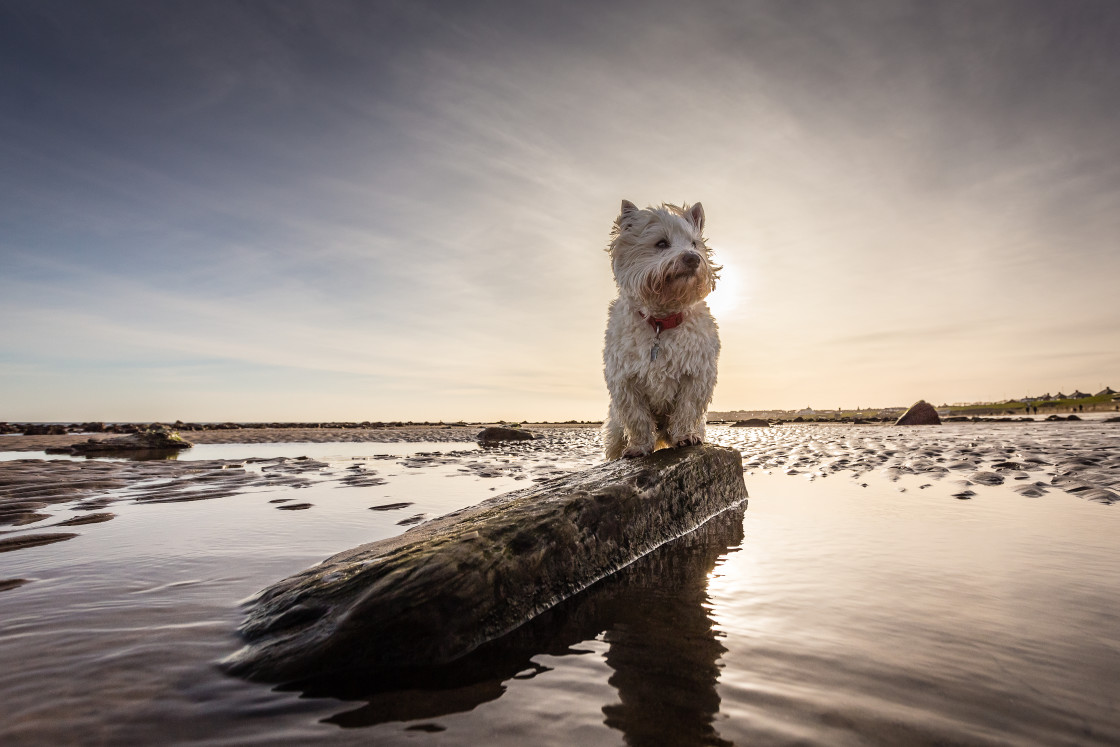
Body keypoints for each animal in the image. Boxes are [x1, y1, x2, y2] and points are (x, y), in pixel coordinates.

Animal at [604, 197, 716, 461]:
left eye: (694, 243)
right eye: (661, 243)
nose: (693, 258)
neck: (660, 322)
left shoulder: (696, 375)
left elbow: (687, 408)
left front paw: (685, 437)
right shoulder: (625, 380)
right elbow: (637, 418)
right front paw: (639, 446)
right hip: (614, 431)